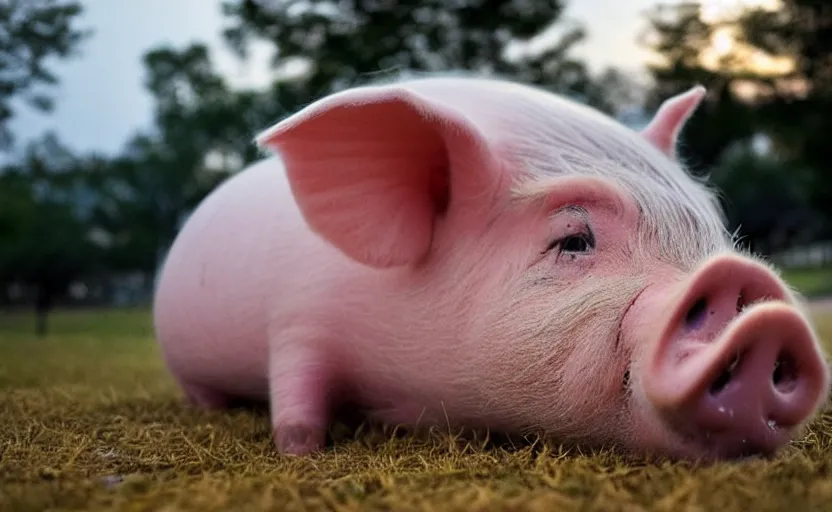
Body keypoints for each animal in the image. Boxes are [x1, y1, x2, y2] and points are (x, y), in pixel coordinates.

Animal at [151, 74, 832, 462]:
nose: (767, 310)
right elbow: (298, 387)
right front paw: (300, 452)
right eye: (574, 240)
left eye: (714, 232)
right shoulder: (297, 320)